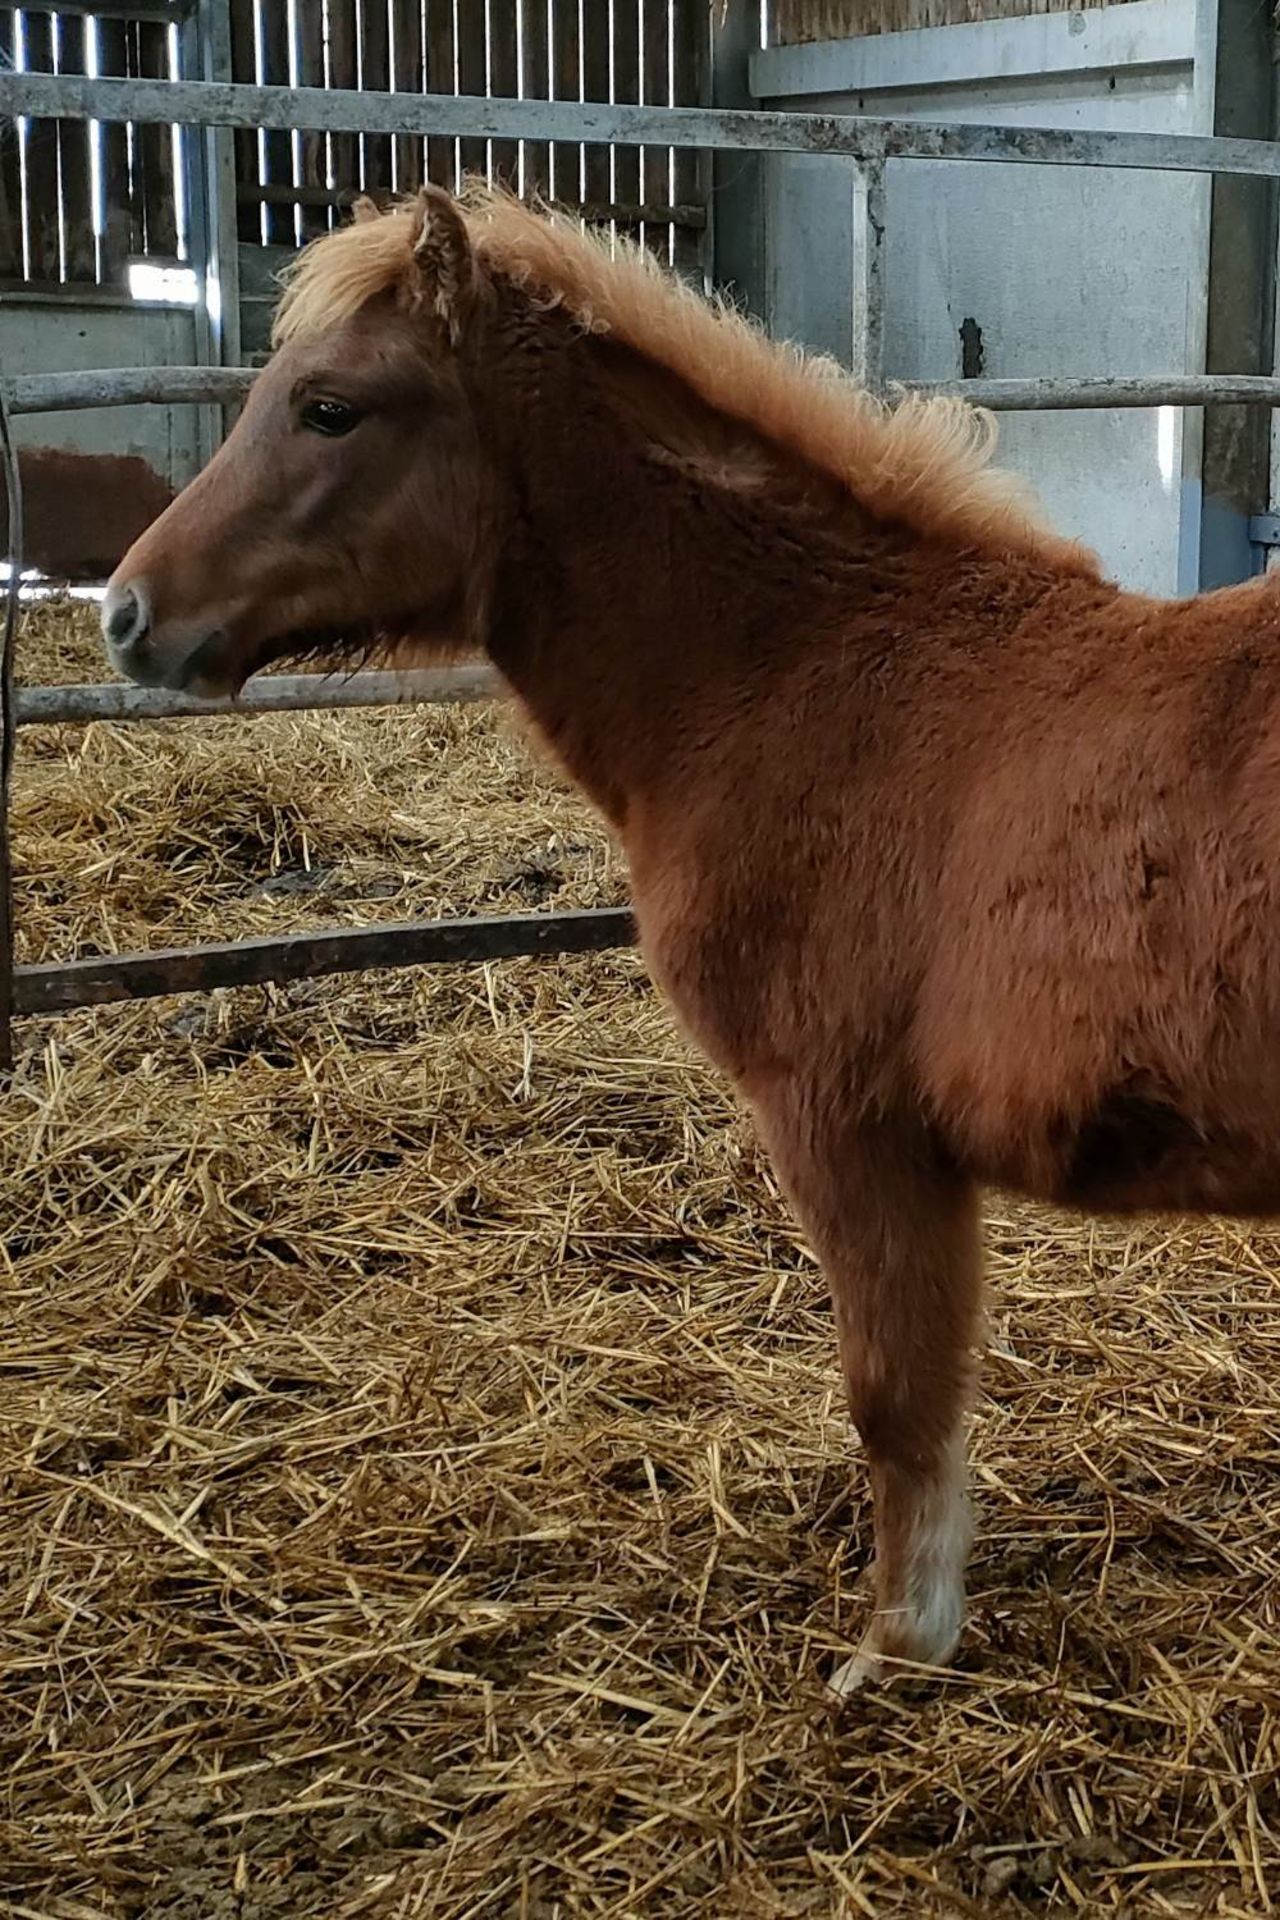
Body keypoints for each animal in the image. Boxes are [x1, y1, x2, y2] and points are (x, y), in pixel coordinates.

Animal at [105, 187, 1280, 1689]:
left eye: (329, 408)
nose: (128, 615)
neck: (814, 679)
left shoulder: (847, 1122)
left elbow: (898, 1399)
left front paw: (896, 1649)